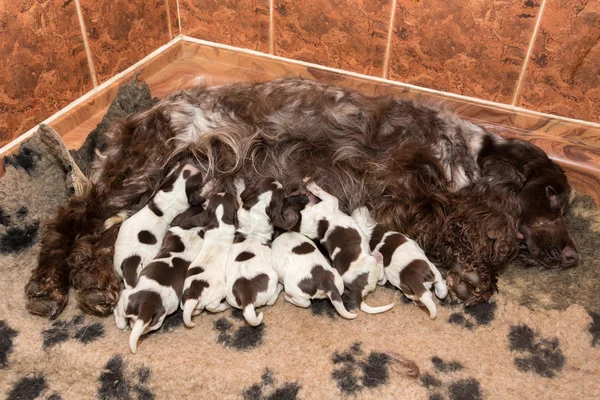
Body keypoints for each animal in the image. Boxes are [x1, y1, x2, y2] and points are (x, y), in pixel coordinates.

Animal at [113, 206, 207, 354]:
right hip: (156, 320)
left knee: (123, 317)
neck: (194, 230)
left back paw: (118, 316)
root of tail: (147, 308)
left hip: (127, 297)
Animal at [180, 192, 239, 326]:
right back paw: (222, 307)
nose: (225, 191)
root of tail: (194, 292)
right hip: (221, 290)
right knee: (211, 307)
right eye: (230, 196)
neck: (219, 222)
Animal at [225, 177, 292, 324]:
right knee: (270, 301)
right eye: (283, 195)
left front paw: (238, 183)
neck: (259, 209)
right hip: (273, 276)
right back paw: (280, 288)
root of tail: (247, 298)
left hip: (229, 296)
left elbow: (240, 198)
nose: (279, 181)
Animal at [290, 179, 394, 316]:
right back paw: (379, 256)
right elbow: (322, 192)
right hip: (372, 264)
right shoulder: (330, 200)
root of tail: (357, 290)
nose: (298, 187)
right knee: (382, 277)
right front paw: (312, 185)